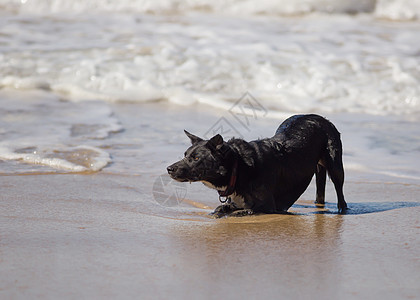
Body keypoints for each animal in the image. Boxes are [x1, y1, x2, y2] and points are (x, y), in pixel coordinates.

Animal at [167, 113, 348, 217]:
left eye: (196, 158)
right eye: (185, 155)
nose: (169, 169)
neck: (239, 168)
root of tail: (321, 118)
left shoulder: (267, 206)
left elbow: (241, 212)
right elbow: (221, 208)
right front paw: (217, 212)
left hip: (335, 163)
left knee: (340, 190)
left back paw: (342, 209)